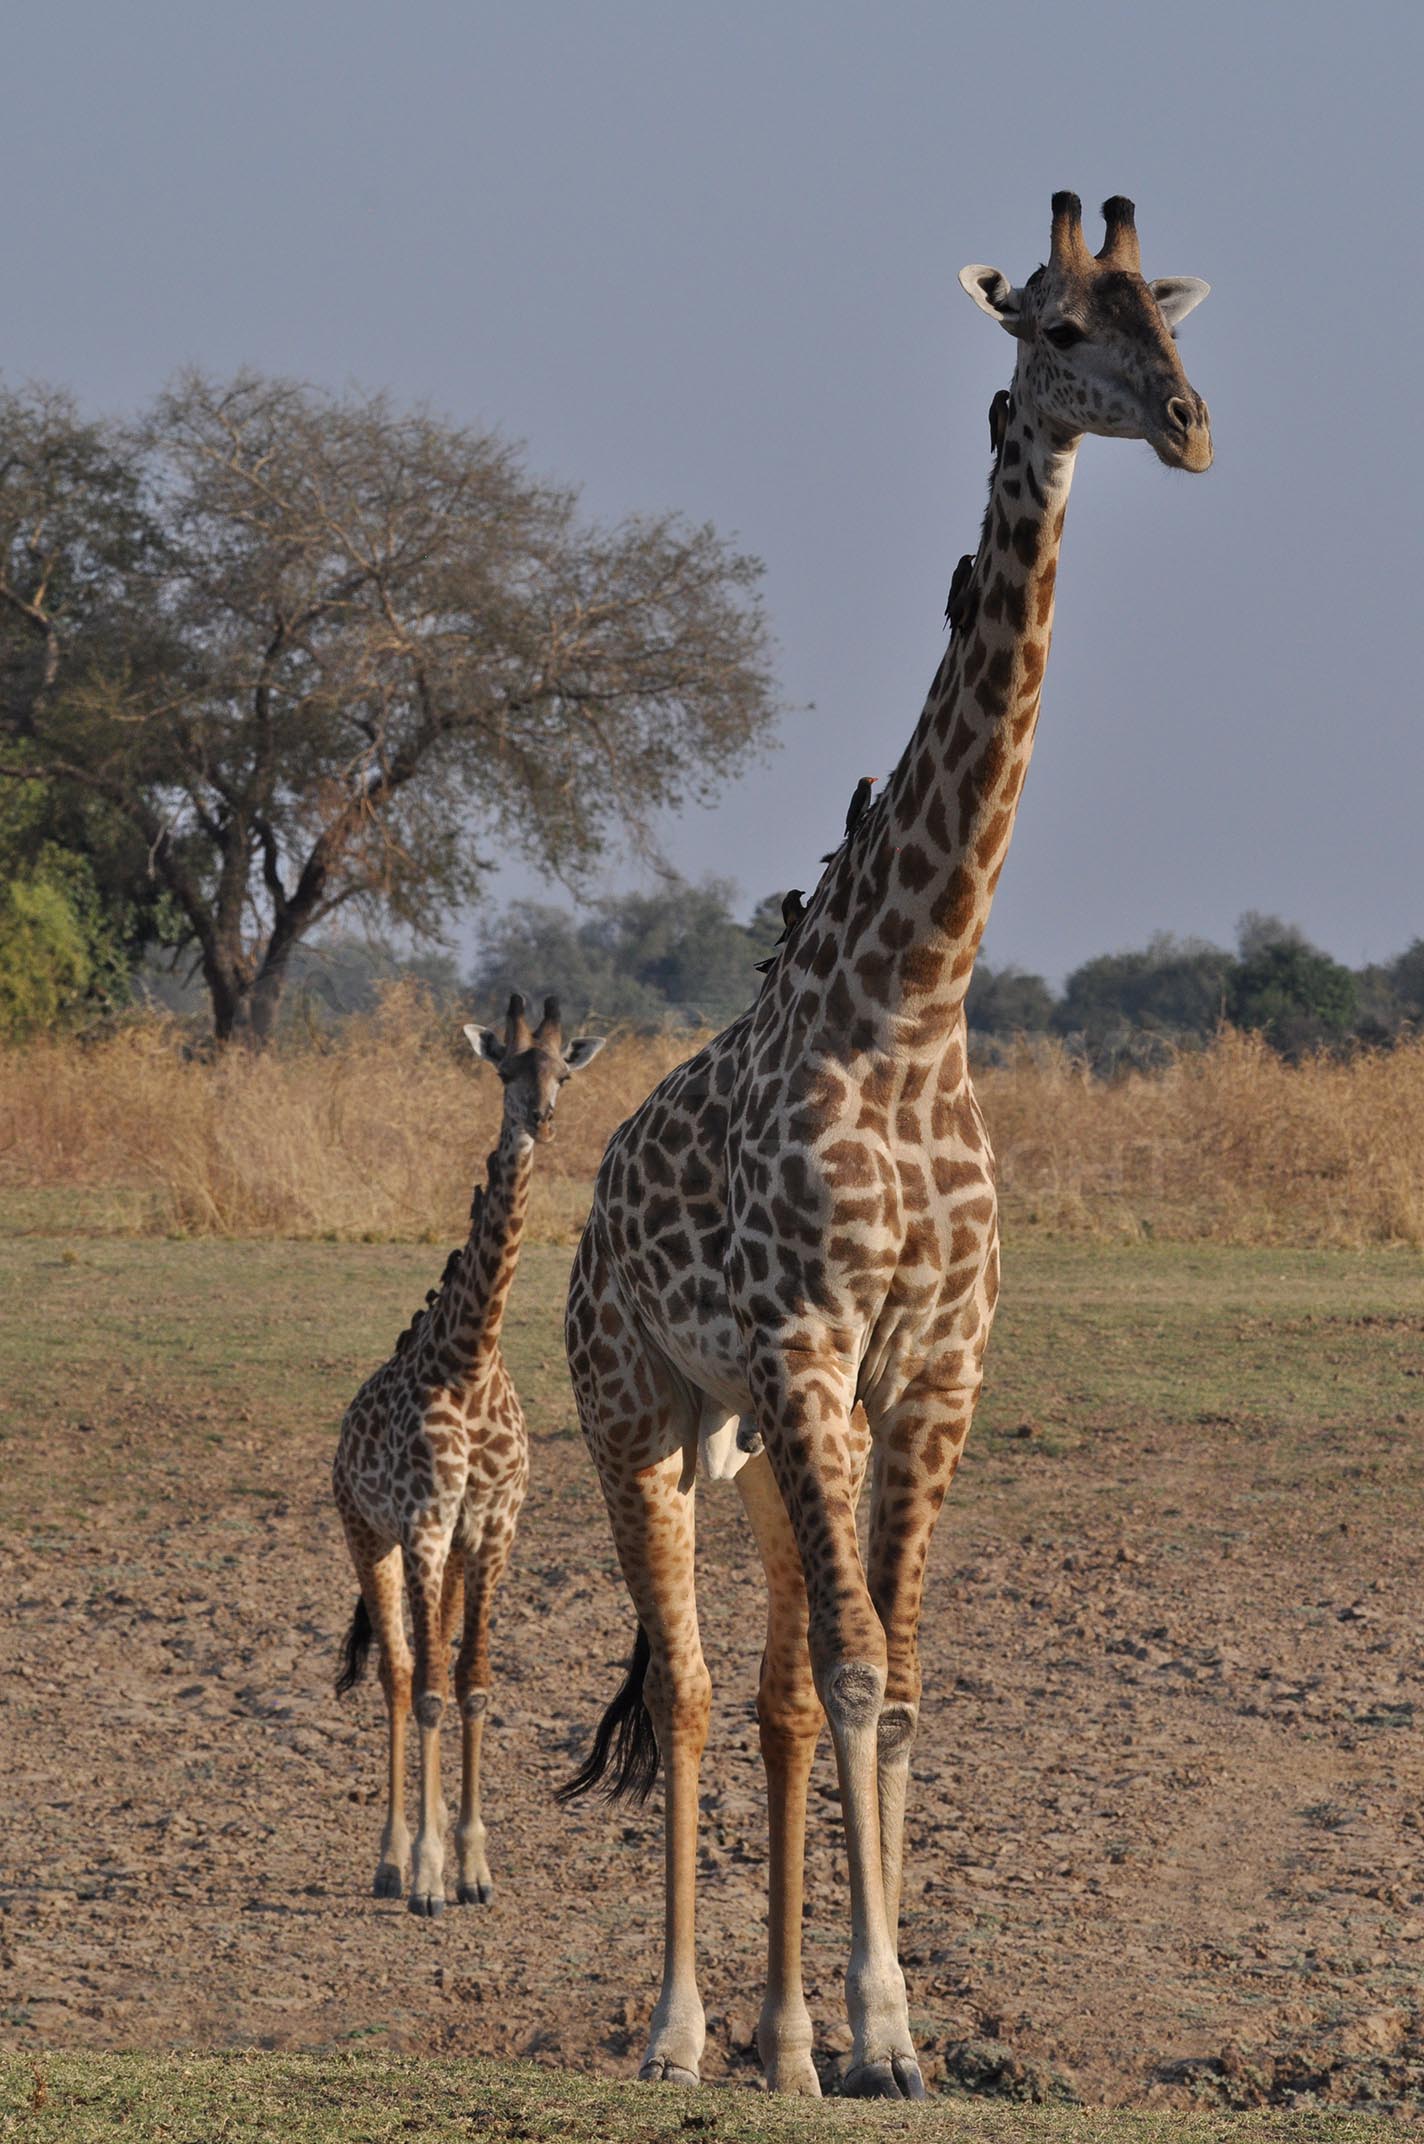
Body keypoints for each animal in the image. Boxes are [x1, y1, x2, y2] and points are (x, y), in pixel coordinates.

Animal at [336, 986, 604, 1912]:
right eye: (503, 1068)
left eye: (563, 1071)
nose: (540, 1118)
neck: (471, 1357)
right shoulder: (420, 1522)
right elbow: (424, 1691)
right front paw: (425, 1875)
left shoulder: (489, 1528)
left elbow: (474, 1684)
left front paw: (475, 1868)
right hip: (366, 1534)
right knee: (395, 1672)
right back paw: (387, 1862)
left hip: (445, 1552)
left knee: (435, 1663)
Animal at [561, 192, 1209, 2101]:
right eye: (1058, 330)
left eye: (1164, 316)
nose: (1190, 426)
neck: (912, 1005)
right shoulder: (804, 1344)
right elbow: (851, 1677)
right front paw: (883, 2019)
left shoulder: (928, 1367)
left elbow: (893, 1677)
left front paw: (866, 2023)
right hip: (636, 1410)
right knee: (697, 1685)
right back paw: (679, 2027)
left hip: (773, 1442)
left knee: (778, 1685)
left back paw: (771, 2034)